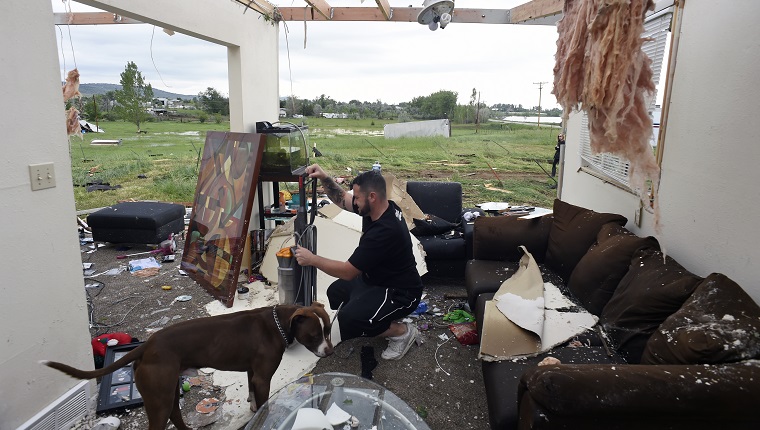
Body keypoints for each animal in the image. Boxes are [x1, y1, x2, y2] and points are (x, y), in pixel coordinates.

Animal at [42, 302, 332, 430]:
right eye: (314, 335)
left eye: (328, 330)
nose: (329, 351)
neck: (278, 323)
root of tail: (147, 346)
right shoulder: (262, 377)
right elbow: (264, 406)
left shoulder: (253, 373)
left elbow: (252, 397)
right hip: (159, 398)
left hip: (167, 391)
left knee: (175, 414)